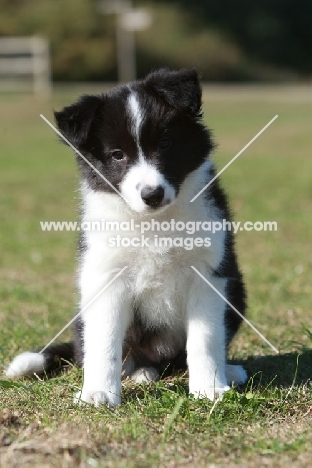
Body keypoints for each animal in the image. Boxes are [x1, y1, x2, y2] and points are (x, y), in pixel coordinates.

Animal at [6, 67, 247, 404]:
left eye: (165, 143)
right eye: (117, 155)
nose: (152, 194)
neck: (154, 223)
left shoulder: (208, 272)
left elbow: (206, 337)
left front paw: (209, 388)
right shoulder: (106, 275)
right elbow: (104, 341)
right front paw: (98, 393)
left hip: (237, 294)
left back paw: (229, 371)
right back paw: (140, 373)